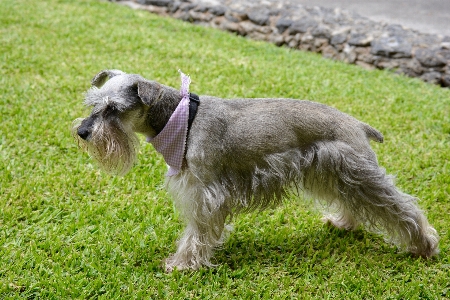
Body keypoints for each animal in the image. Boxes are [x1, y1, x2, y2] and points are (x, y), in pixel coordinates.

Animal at [73, 69, 440, 272]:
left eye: (113, 109)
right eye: (93, 104)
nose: (82, 132)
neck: (180, 118)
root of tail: (358, 125)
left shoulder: (205, 194)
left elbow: (196, 233)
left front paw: (182, 265)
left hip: (358, 173)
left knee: (401, 208)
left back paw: (424, 245)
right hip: (336, 174)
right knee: (354, 202)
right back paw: (343, 222)